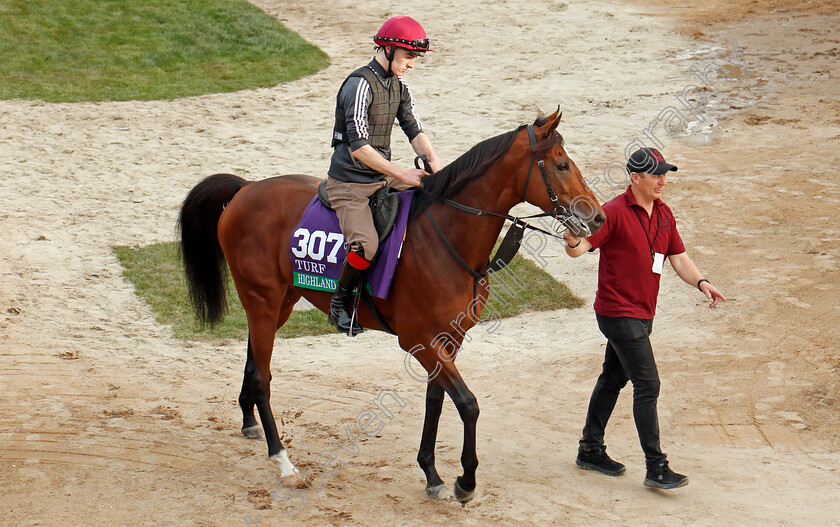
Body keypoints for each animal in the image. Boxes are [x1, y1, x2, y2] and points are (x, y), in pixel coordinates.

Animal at [179, 107, 604, 504]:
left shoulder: (449, 339)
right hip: (262, 298)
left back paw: (248, 420)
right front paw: (465, 480)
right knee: (262, 377)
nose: (597, 216)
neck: (447, 237)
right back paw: (284, 463)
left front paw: (432, 474)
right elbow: (467, 403)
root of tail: (246, 188)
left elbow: (436, 401)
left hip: (280, 300)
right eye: (562, 164)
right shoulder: (420, 340)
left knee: (254, 361)